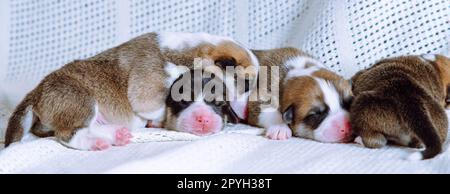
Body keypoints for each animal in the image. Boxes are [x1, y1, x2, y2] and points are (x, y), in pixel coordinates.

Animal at [3, 31, 258, 151]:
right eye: (246, 85)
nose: (248, 111)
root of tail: (36, 91)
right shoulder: (147, 89)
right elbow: (156, 106)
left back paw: (115, 134)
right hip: (81, 100)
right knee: (68, 133)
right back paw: (95, 143)